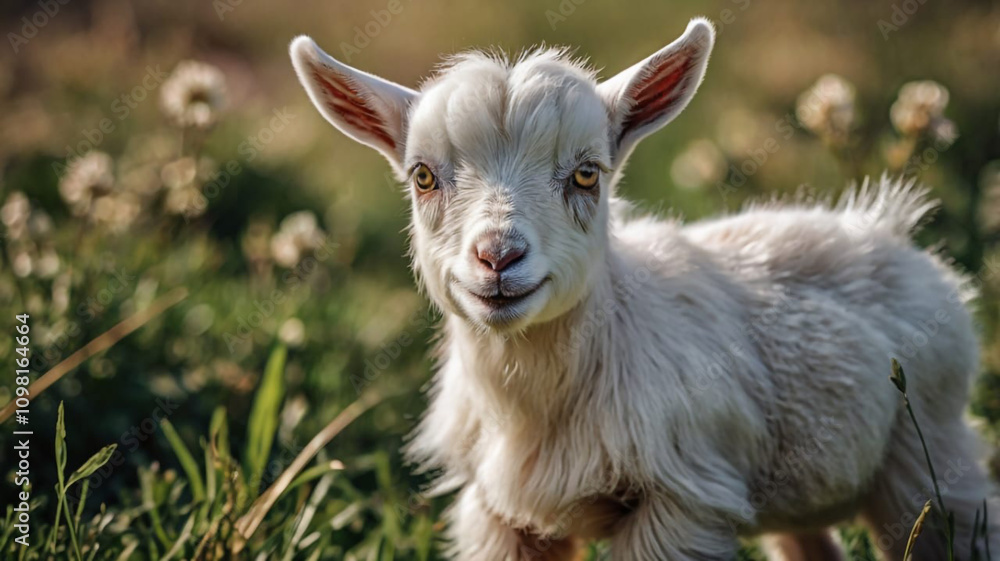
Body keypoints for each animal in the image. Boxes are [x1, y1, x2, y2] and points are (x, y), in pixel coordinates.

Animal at [290, 18, 998, 560]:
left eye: (586, 174)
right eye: (423, 177)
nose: (498, 257)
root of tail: (886, 228)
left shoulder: (682, 501)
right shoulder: (497, 514)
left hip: (929, 452)